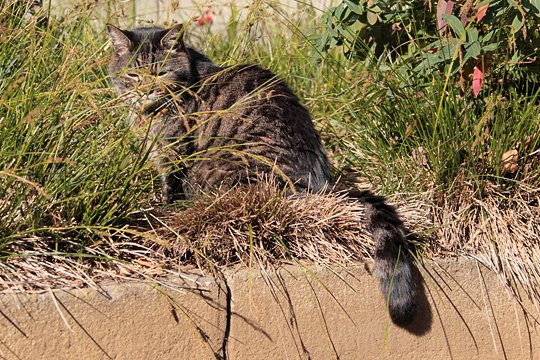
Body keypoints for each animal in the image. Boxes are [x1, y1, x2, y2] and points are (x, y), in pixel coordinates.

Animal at [105, 23, 418, 326]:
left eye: (161, 73)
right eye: (133, 75)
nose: (145, 90)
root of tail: (319, 185)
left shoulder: (174, 153)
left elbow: (170, 189)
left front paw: (164, 214)